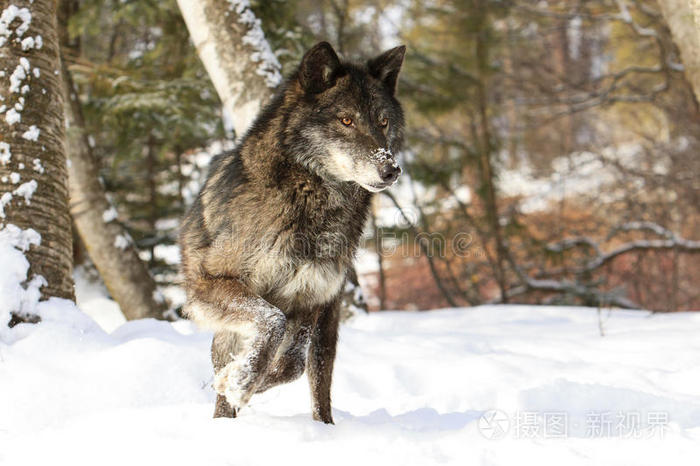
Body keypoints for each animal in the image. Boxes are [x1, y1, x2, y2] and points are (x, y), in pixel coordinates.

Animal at [178, 41, 404, 424]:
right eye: (346, 120)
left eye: (383, 121)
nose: (391, 170)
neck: (312, 198)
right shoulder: (209, 284)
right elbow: (273, 320)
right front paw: (241, 380)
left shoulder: (308, 298)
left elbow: (291, 364)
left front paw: (243, 380)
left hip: (328, 324)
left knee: (316, 380)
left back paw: (323, 427)